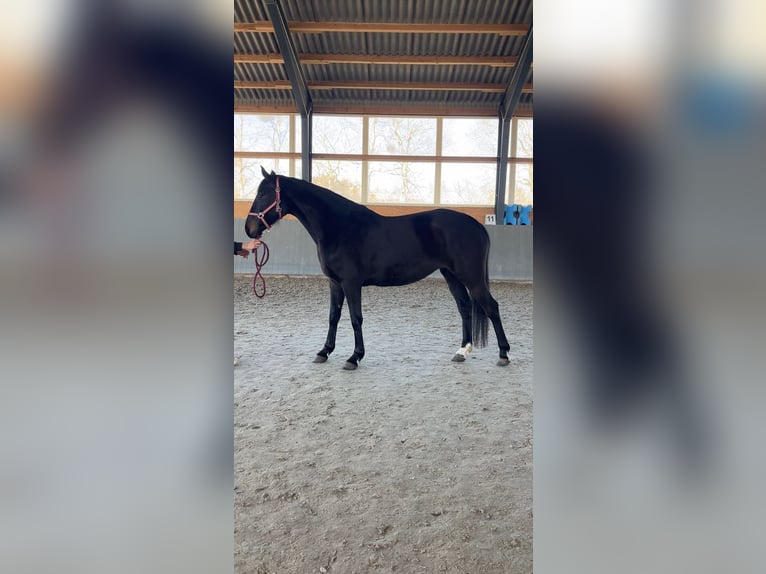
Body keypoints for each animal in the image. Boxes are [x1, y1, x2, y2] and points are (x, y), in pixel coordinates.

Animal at [245, 167, 511, 370]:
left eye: (264, 194)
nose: (249, 229)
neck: (340, 227)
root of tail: (476, 225)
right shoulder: (334, 283)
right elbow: (333, 317)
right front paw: (324, 352)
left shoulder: (351, 283)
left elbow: (355, 319)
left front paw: (354, 357)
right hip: (451, 275)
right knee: (465, 307)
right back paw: (462, 351)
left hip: (471, 277)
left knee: (491, 307)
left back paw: (503, 354)